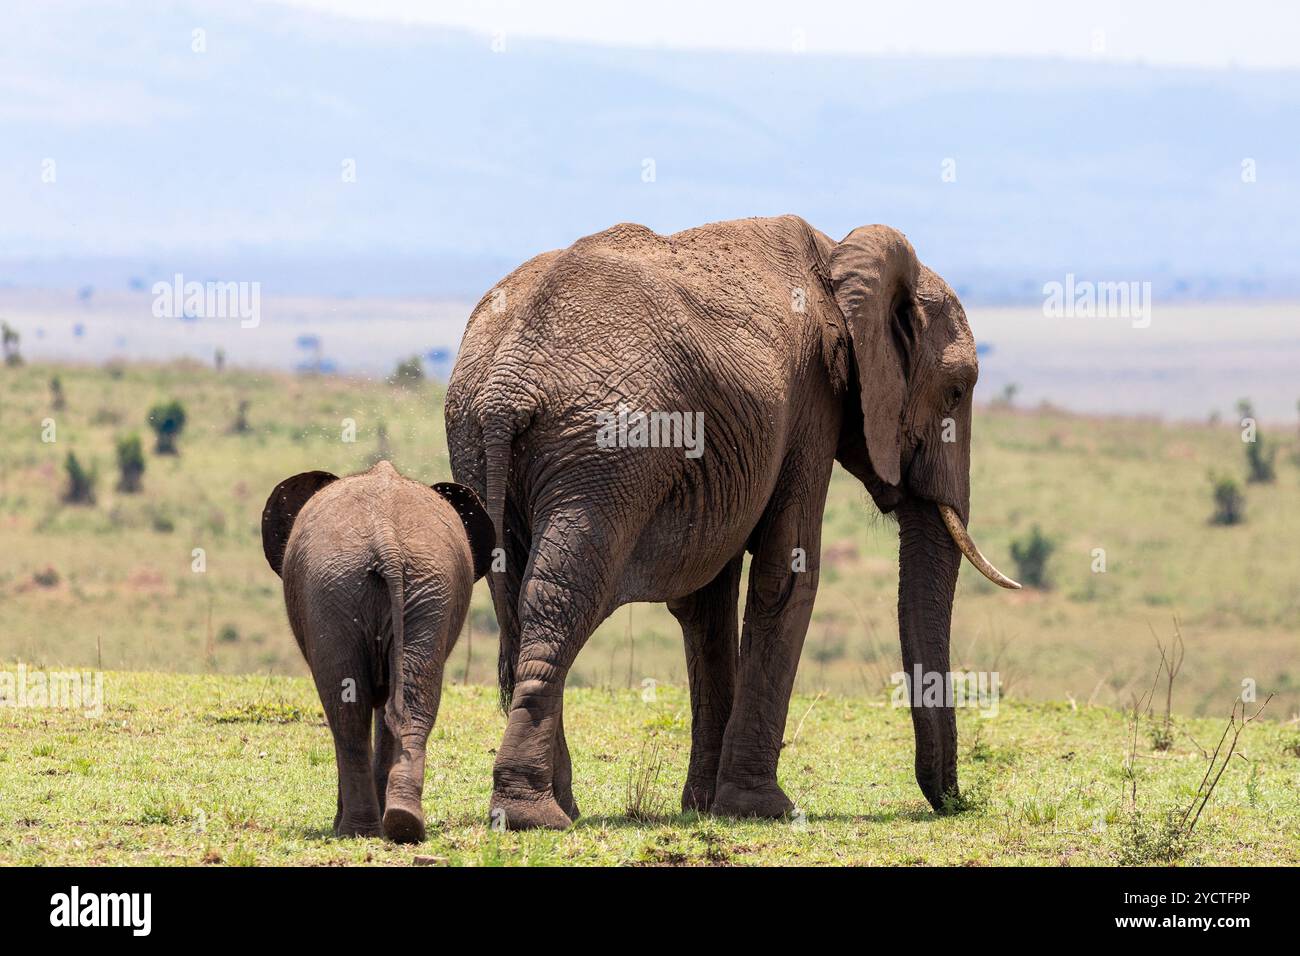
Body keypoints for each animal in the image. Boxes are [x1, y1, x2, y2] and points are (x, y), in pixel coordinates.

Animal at [261, 460, 493, 842]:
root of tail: (387, 542)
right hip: (421, 587)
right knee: (411, 702)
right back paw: (402, 823)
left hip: (336, 588)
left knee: (346, 714)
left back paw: (357, 830)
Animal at [444, 217, 1013, 832]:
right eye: (956, 390)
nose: (956, 803)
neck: (837, 258)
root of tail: (506, 389)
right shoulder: (812, 402)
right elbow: (787, 575)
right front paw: (765, 810)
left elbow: (706, 600)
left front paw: (703, 806)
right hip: (603, 456)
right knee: (560, 600)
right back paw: (534, 816)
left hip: (478, 445)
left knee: (515, 604)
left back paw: (558, 807)